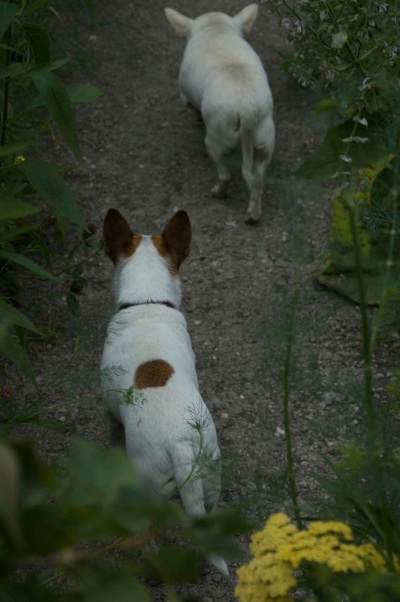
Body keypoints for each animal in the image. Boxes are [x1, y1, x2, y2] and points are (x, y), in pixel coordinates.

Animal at [165, 3, 275, 225]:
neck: (216, 30)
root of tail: (247, 110)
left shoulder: (184, 94)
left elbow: (190, 105)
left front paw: (197, 117)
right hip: (265, 138)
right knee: (259, 178)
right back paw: (253, 213)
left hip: (216, 139)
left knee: (224, 174)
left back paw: (219, 192)